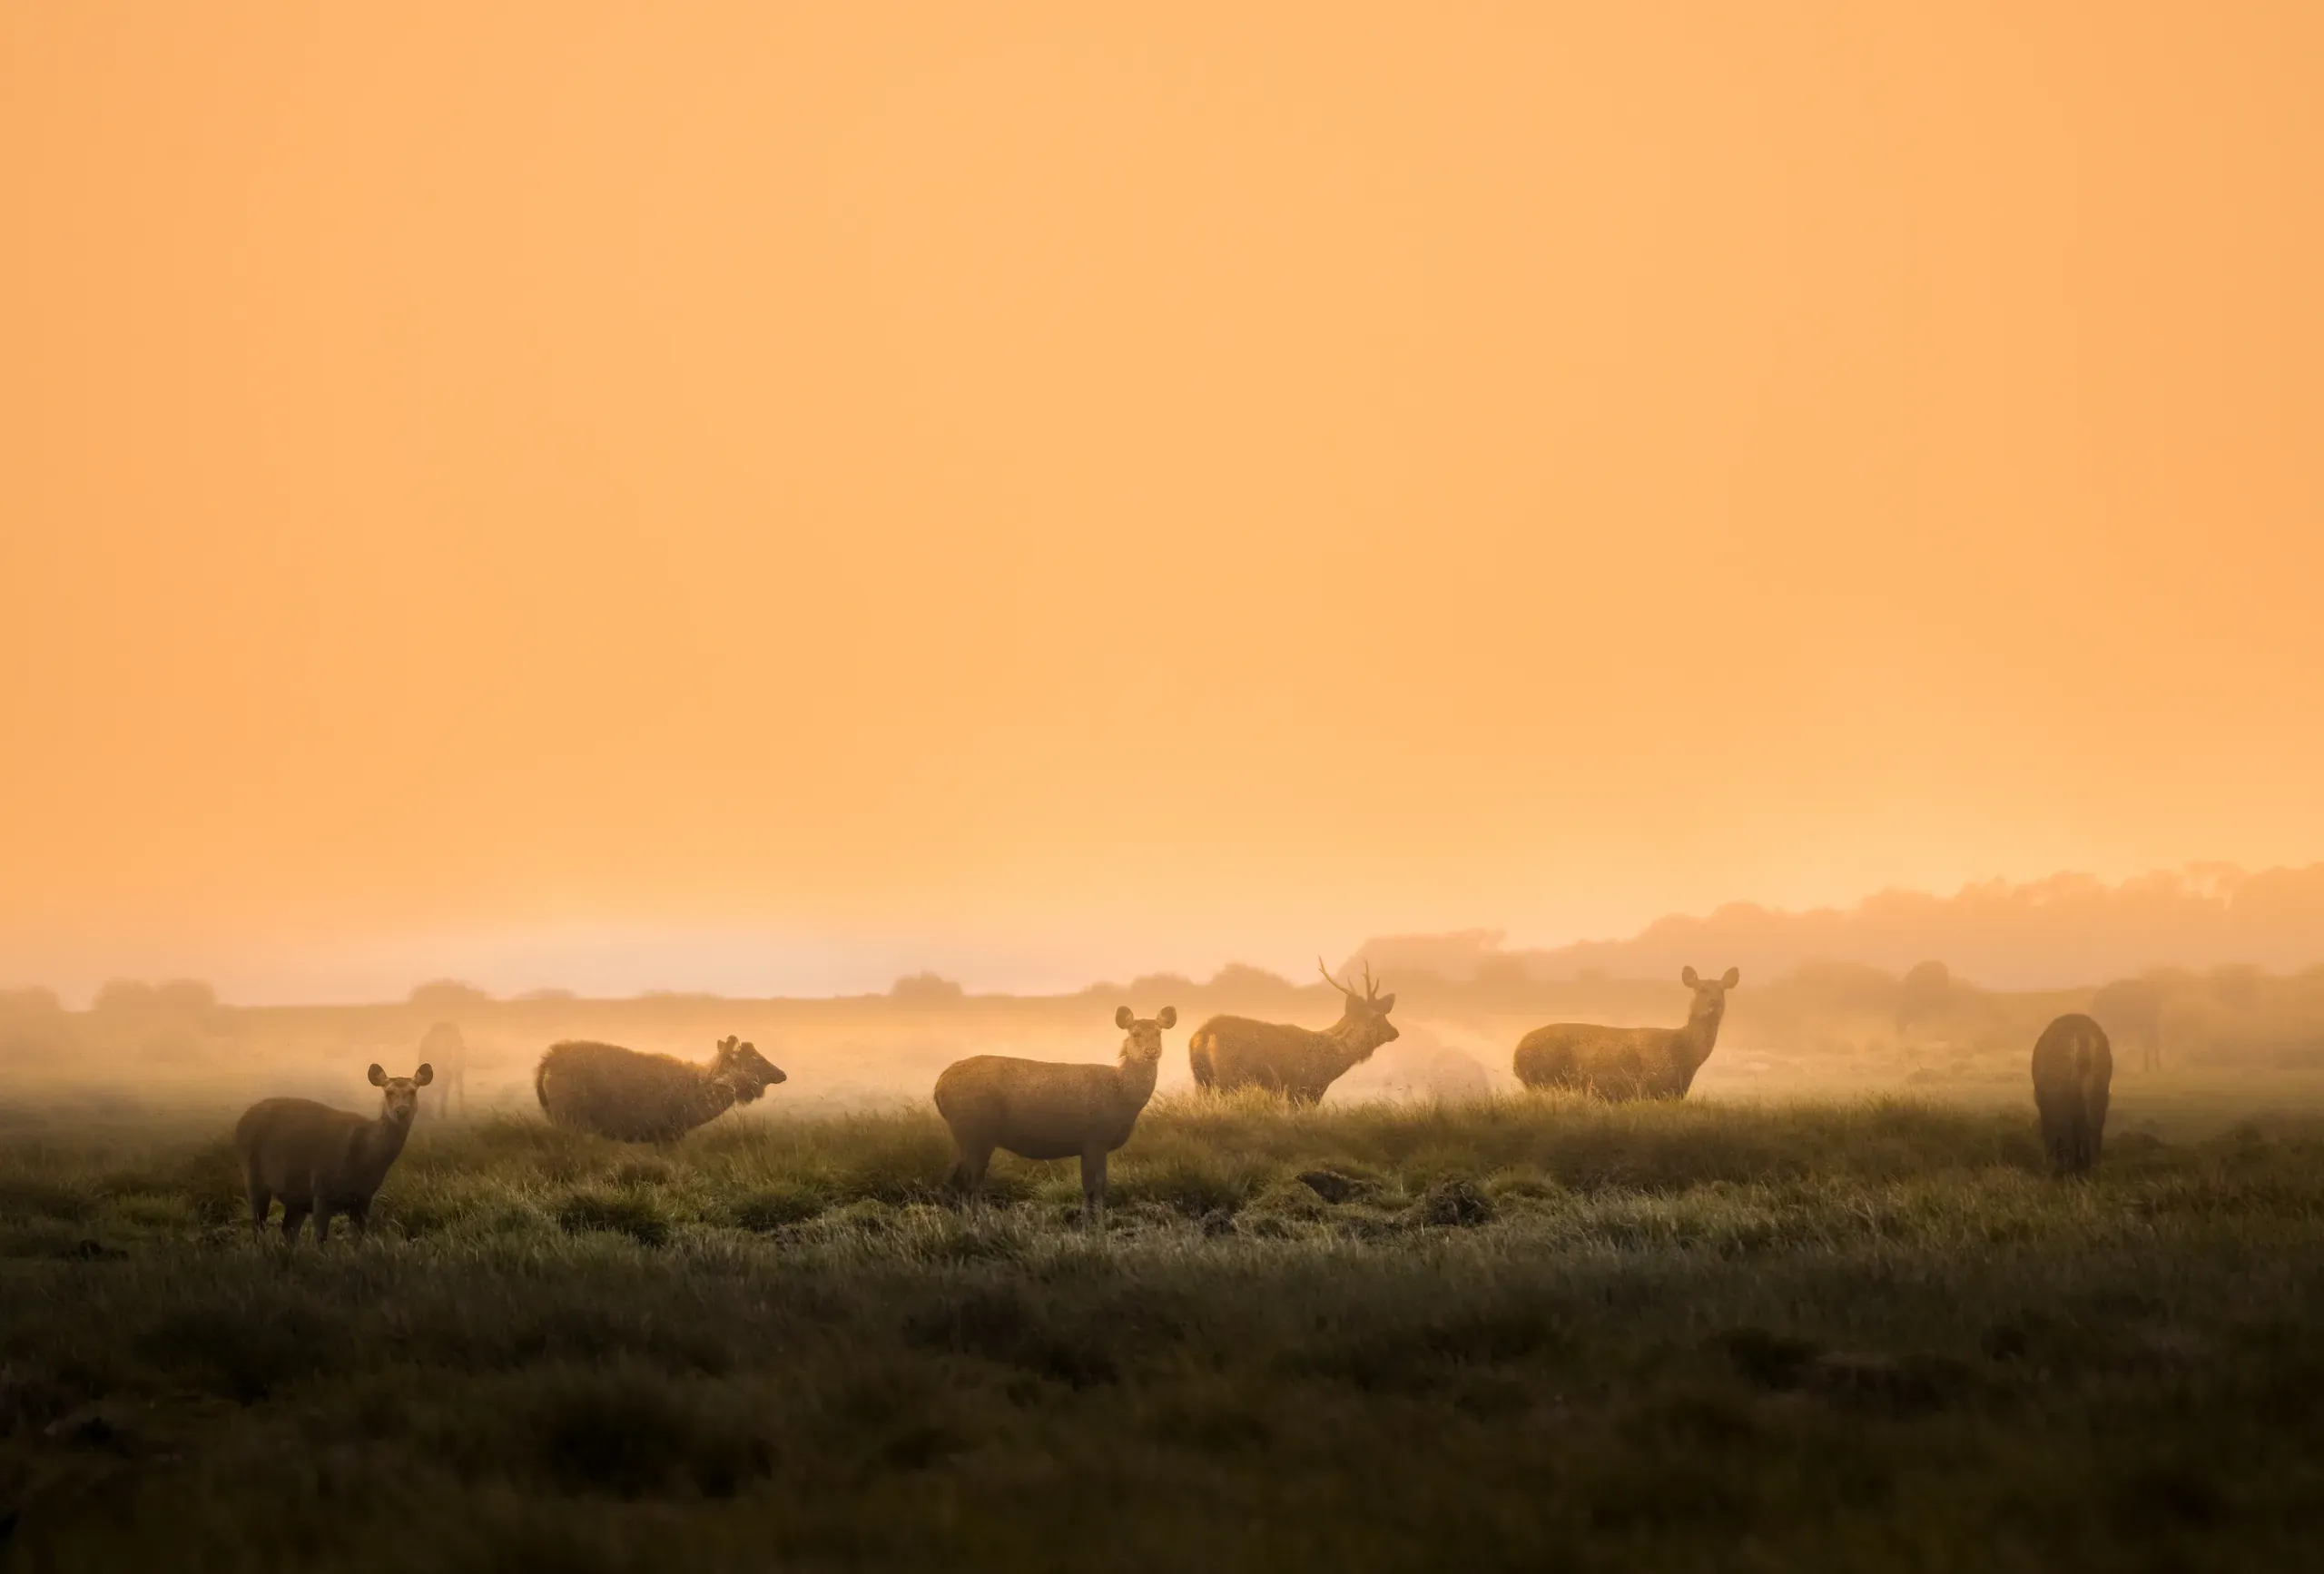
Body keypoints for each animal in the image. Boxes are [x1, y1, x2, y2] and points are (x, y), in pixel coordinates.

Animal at [234, 1063, 433, 1242]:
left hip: (296, 1195)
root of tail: (240, 1121)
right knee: (258, 1226)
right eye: (388, 1092)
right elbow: (321, 1240)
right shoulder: (321, 1191)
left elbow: (357, 1241)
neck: (365, 1158)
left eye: (413, 1091)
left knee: (288, 1229)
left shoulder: (364, 1199)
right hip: (252, 1175)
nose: (402, 1110)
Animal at [933, 1005, 1176, 1224]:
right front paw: (1096, 1223)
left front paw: (1090, 1218)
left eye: (1158, 1033)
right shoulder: (1095, 1138)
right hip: (975, 1130)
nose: (1151, 1052)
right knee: (969, 1179)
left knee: (953, 1177)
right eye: (1135, 1033)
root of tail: (939, 1088)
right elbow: (1095, 1185)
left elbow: (1091, 1186)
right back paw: (978, 1219)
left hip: (967, 1134)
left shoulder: (1089, 1145)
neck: (1124, 1098)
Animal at [1186, 959, 1399, 1105]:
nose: (1395, 1032)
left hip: (1201, 1080)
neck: (1332, 1063)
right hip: (1227, 1078)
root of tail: (1202, 1036)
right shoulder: (1304, 1088)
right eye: (1378, 1016)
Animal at [1512, 966, 1738, 1100]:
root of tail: (1517, 1054)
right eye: (1702, 989)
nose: (1714, 1003)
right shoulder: (1651, 1087)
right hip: (1544, 1079)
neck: (1686, 1055)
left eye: (1721, 990)